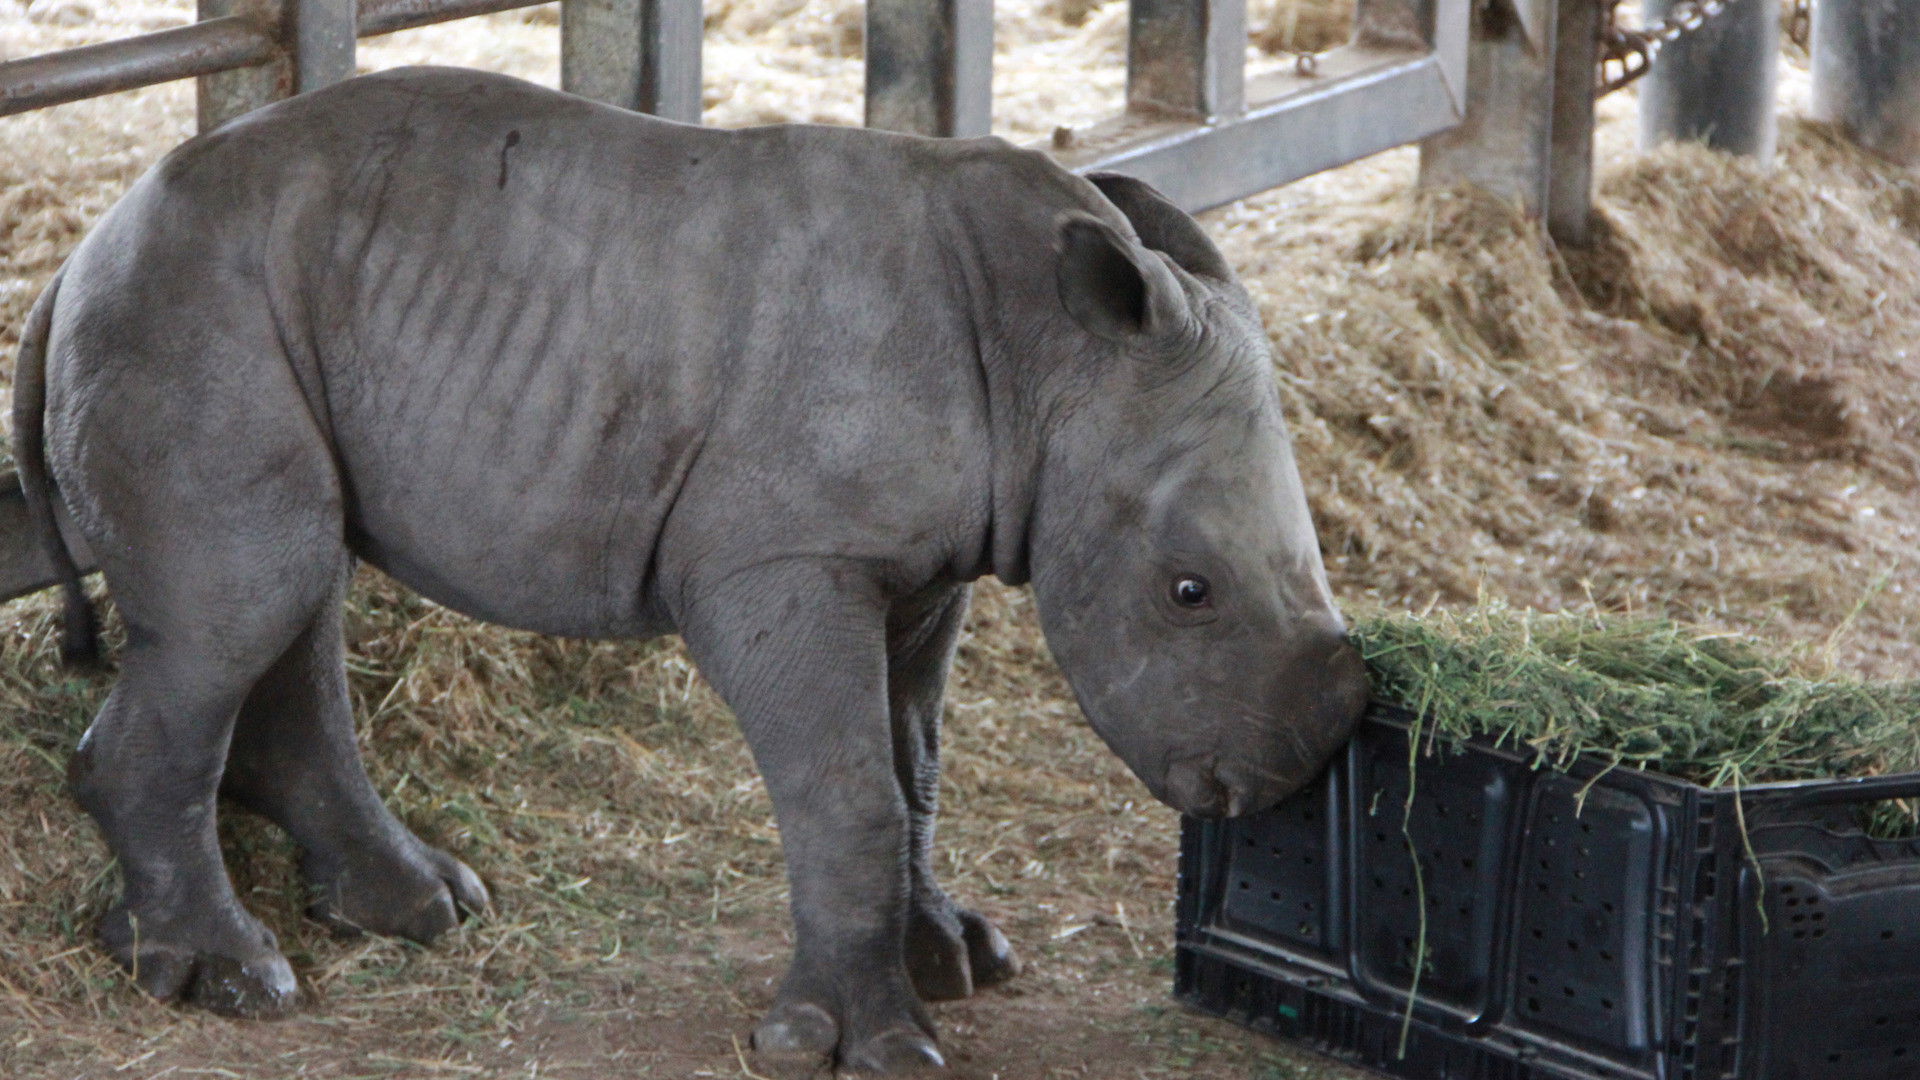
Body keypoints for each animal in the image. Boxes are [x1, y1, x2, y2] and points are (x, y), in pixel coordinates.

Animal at [10, 66, 1367, 1073]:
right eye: (1188, 592)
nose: (1284, 771)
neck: (1049, 353)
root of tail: (78, 256)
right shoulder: (780, 559)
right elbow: (850, 788)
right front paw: (858, 1045)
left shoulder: (928, 568)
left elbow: (916, 764)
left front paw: (954, 961)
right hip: (190, 313)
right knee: (245, 598)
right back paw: (231, 979)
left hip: (247, 302)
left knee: (289, 585)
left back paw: (415, 909)